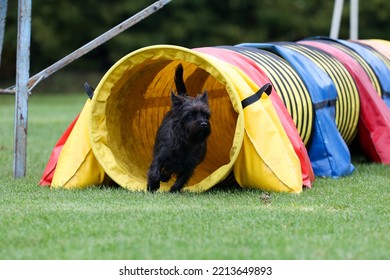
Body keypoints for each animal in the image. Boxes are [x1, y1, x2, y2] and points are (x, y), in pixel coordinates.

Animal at [147, 64, 213, 192]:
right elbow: (155, 171)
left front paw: (173, 190)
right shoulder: (160, 156)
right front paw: (153, 185)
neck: (186, 141)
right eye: (190, 114)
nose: (203, 124)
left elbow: (181, 180)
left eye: (205, 115)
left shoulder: (189, 166)